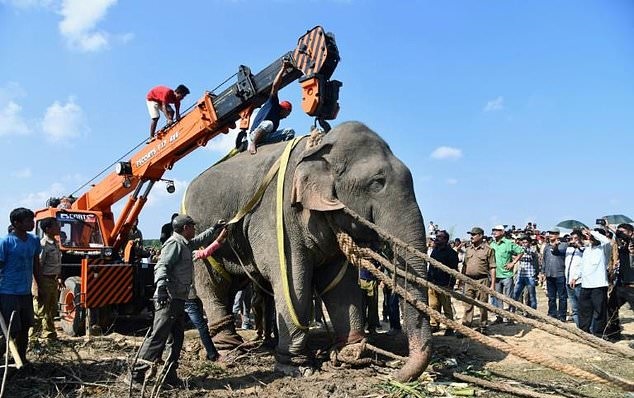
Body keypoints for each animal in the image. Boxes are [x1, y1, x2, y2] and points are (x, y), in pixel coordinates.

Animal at [183, 120, 430, 380]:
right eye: (377, 182)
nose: (396, 374)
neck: (320, 147)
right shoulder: (278, 217)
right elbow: (293, 282)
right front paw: (298, 367)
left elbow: (340, 285)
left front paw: (352, 356)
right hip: (200, 238)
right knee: (212, 285)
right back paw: (230, 352)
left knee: (231, 286)